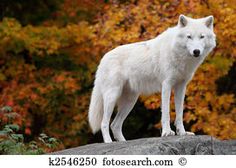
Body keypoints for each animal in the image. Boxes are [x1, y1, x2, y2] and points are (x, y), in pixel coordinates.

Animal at [88, 14, 216, 143]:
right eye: (189, 37)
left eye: (202, 37)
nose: (196, 51)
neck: (179, 55)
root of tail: (103, 58)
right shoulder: (166, 85)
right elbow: (166, 112)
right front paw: (166, 132)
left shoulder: (181, 87)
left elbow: (179, 113)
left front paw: (182, 133)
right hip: (112, 96)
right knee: (104, 123)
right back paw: (109, 142)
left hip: (130, 101)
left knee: (115, 125)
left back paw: (122, 142)